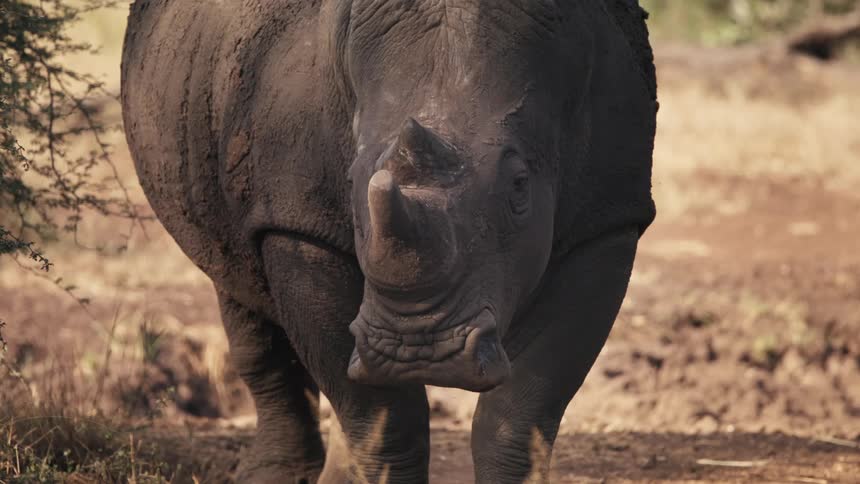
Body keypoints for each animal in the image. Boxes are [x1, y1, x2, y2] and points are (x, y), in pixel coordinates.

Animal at [121, 0, 657, 482]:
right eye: (351, 180)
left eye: (521, 185)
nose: (417, 351)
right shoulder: (295, 220)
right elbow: (383, 417)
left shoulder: (608, 216)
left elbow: (520, 412)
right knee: (237, 289)